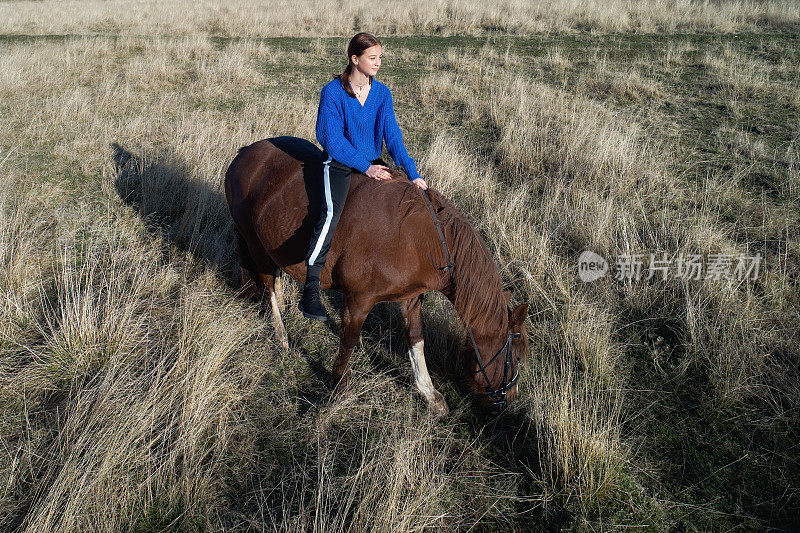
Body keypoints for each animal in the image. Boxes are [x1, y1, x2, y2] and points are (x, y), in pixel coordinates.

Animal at [223, 135, 532, 414]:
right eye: (516, 357)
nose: (510, 400)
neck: (418, 240)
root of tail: (245, 153)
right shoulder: (358, 299)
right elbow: (348, 339)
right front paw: (339, 384)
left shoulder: (411, 297)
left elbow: (416, 339)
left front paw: (429, 393)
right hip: (254, 241)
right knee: (267, 283)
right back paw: (281, 335)